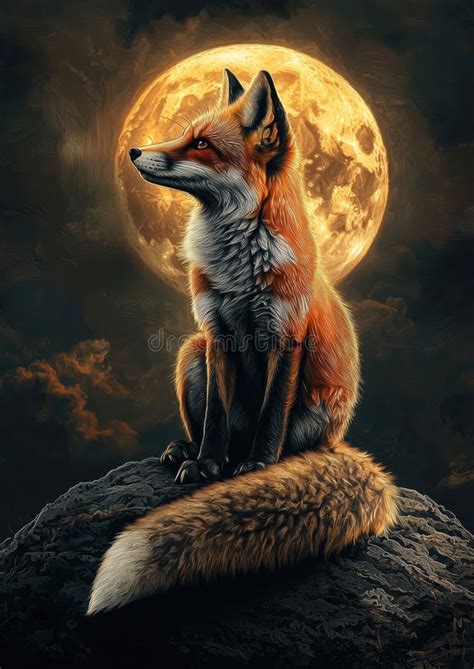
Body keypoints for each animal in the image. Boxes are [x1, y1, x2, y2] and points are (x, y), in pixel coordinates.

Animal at [87, 69, 398, 615]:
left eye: (202, 144)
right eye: (184, 133)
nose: (134, 150)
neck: (239, 266)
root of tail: (337, 442)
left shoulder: (285, 336)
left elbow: (271, 415)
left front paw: (257, 467)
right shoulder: (214, 333)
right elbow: (215, 416)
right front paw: (207, 463)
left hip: (316, 411)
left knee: (287, 443)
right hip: (189, 354)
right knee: (216, 423)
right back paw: (186, 451)